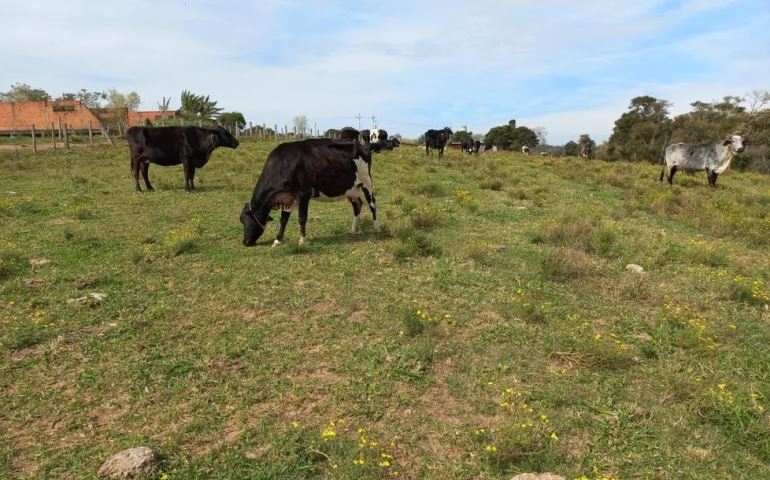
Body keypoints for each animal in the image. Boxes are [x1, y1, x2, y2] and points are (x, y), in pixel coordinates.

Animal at [237, 137, 376, 246]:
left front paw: (302, 239)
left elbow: (302, 218)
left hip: (366, 181)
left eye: (248, 219)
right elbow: (283, 219)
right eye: (241, 220)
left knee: (372, 203)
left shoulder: (304, 193)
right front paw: (278, 240)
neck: (284, 163)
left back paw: (377, 228)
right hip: (351, 188)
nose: (245, 242)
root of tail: (363, 145)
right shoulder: (289, 197)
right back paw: (353, 230)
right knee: (357, 204)